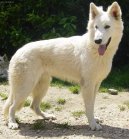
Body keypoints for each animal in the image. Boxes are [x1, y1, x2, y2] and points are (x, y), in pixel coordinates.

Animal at [3, 1, 123, 130]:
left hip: (43, 86)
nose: (97, 41)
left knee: (33, 105)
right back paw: (12, 123)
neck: (94, 50)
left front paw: (94, 120)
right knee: (12, 107)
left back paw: (47, 116)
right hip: (26, 88)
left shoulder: (96, 84)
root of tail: (18, 51)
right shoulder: (88, 86)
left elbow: (92, 104)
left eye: (107, 27)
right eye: (96, 27)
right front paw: (93, 124)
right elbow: (89, 107)